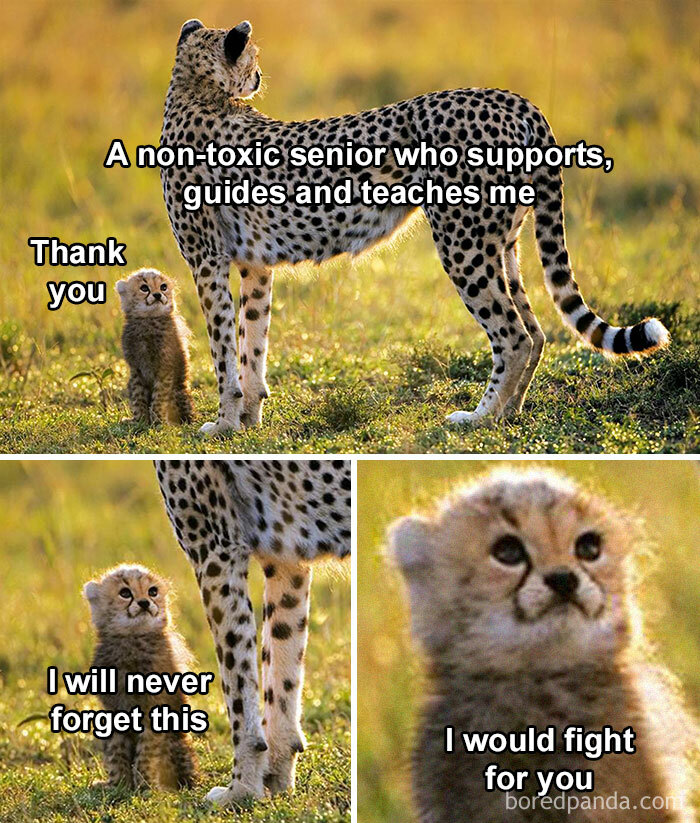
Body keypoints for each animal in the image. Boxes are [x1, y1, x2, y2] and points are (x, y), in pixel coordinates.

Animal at [155, 458, 351, 807]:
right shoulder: (286, 556)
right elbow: (282, 667)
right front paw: (275, 777)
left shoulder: (216, 549)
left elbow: (237, 682)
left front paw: (241, 789)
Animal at [161, 18, 669, 435]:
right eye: (253, 57)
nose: (259, 77)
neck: (194, 91)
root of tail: (512, 99)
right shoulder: (254, 265)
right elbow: (251, 344)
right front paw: (247, 419)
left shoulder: (208, 261)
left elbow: (224, 349)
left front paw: (224, 424)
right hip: (503, 243)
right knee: (536, 330)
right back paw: (510, 413)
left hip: (463, 243)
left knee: (513, 335)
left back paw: (479, 418)